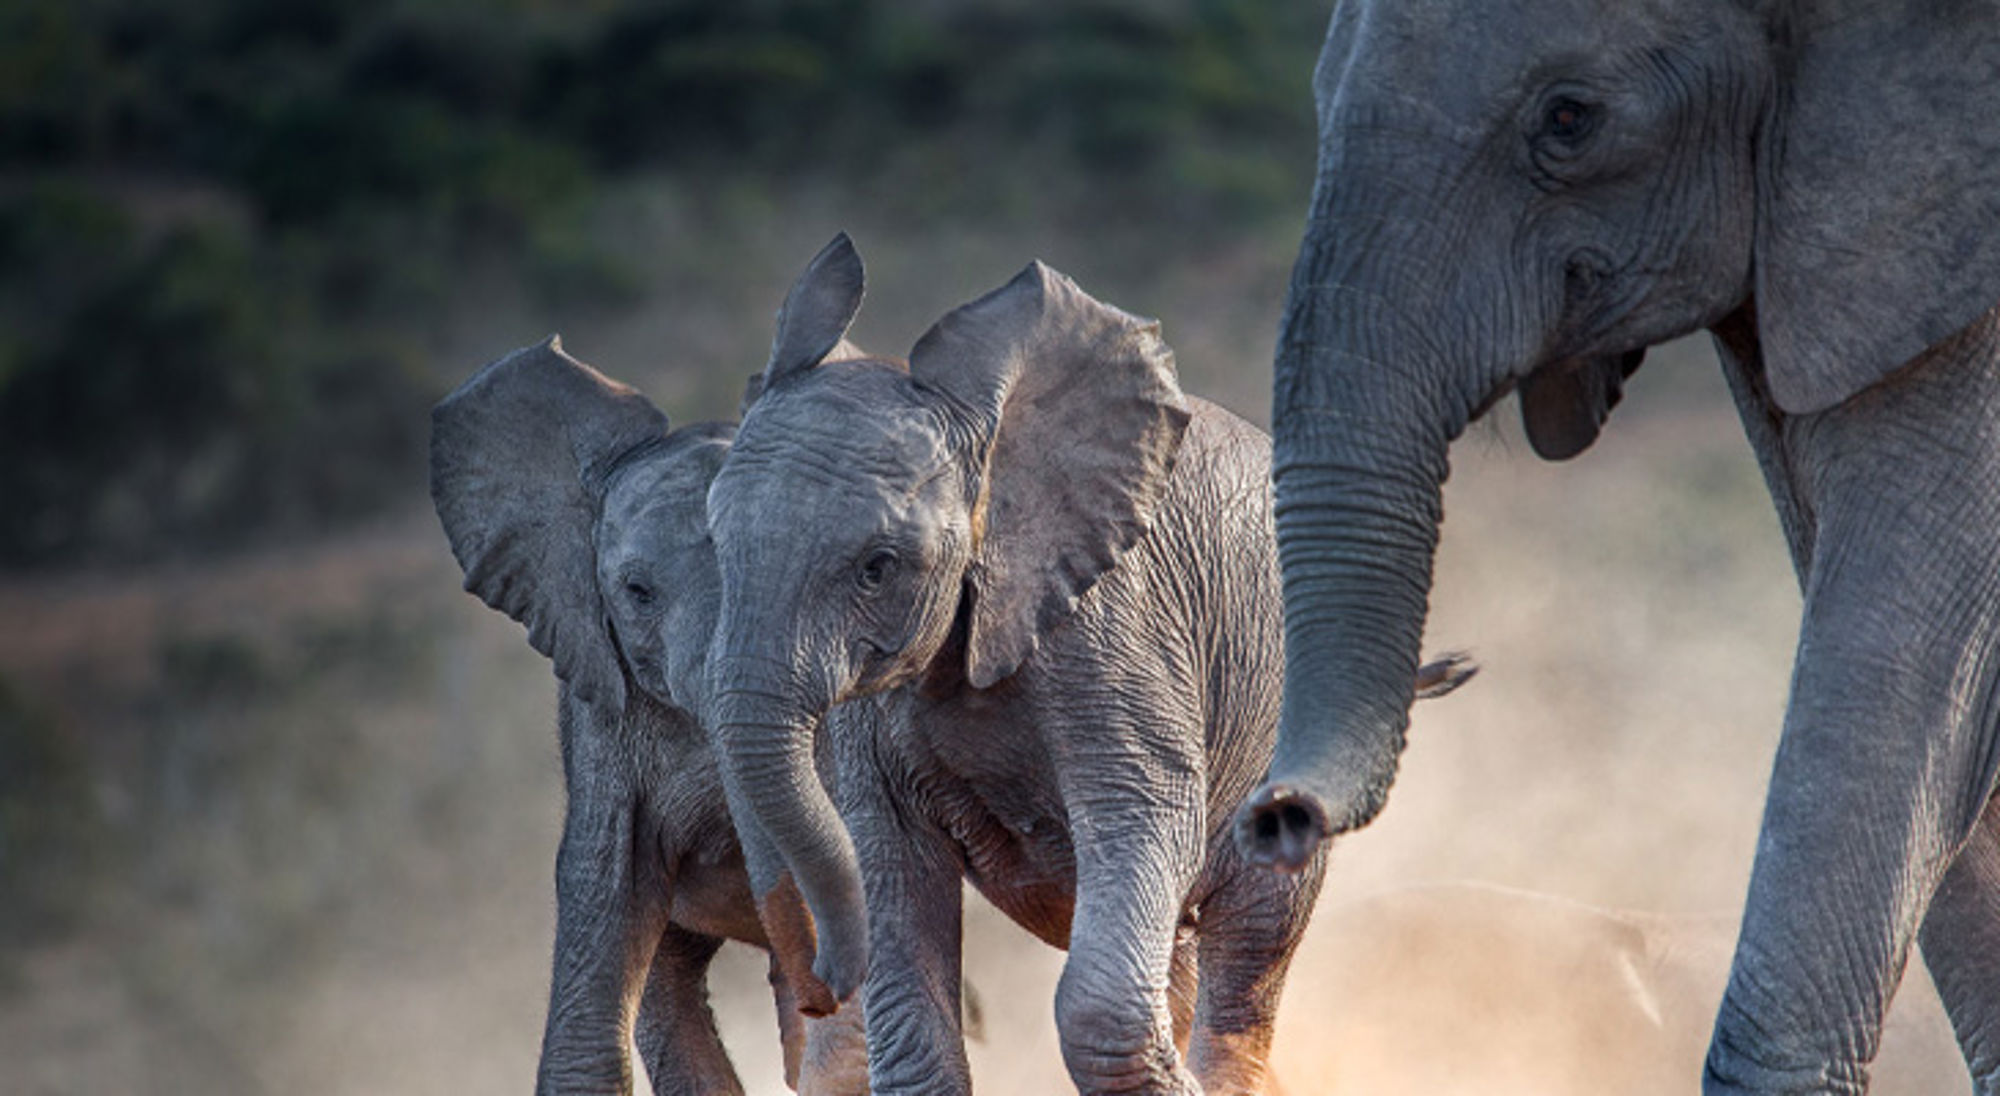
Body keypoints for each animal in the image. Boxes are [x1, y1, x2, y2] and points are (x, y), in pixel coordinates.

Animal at [701, 234, 1475, 1095]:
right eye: (714, 540)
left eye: (877, 566)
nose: (821, 987)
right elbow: (895, 879)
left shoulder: (1114, 631)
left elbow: (1143, 823)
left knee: (1248, 952)